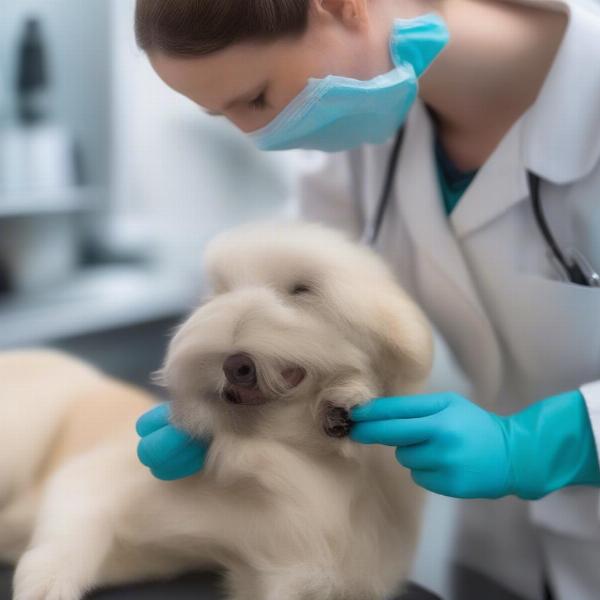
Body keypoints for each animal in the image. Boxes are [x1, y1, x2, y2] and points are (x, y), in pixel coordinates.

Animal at [0, 221, 434, 600]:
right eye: (222, 290)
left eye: (302, 290)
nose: (234, 364)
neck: (282, 455)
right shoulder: (94, 485)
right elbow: (65, 540)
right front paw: (45, 586)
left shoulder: (299, 569)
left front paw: (343, 401)